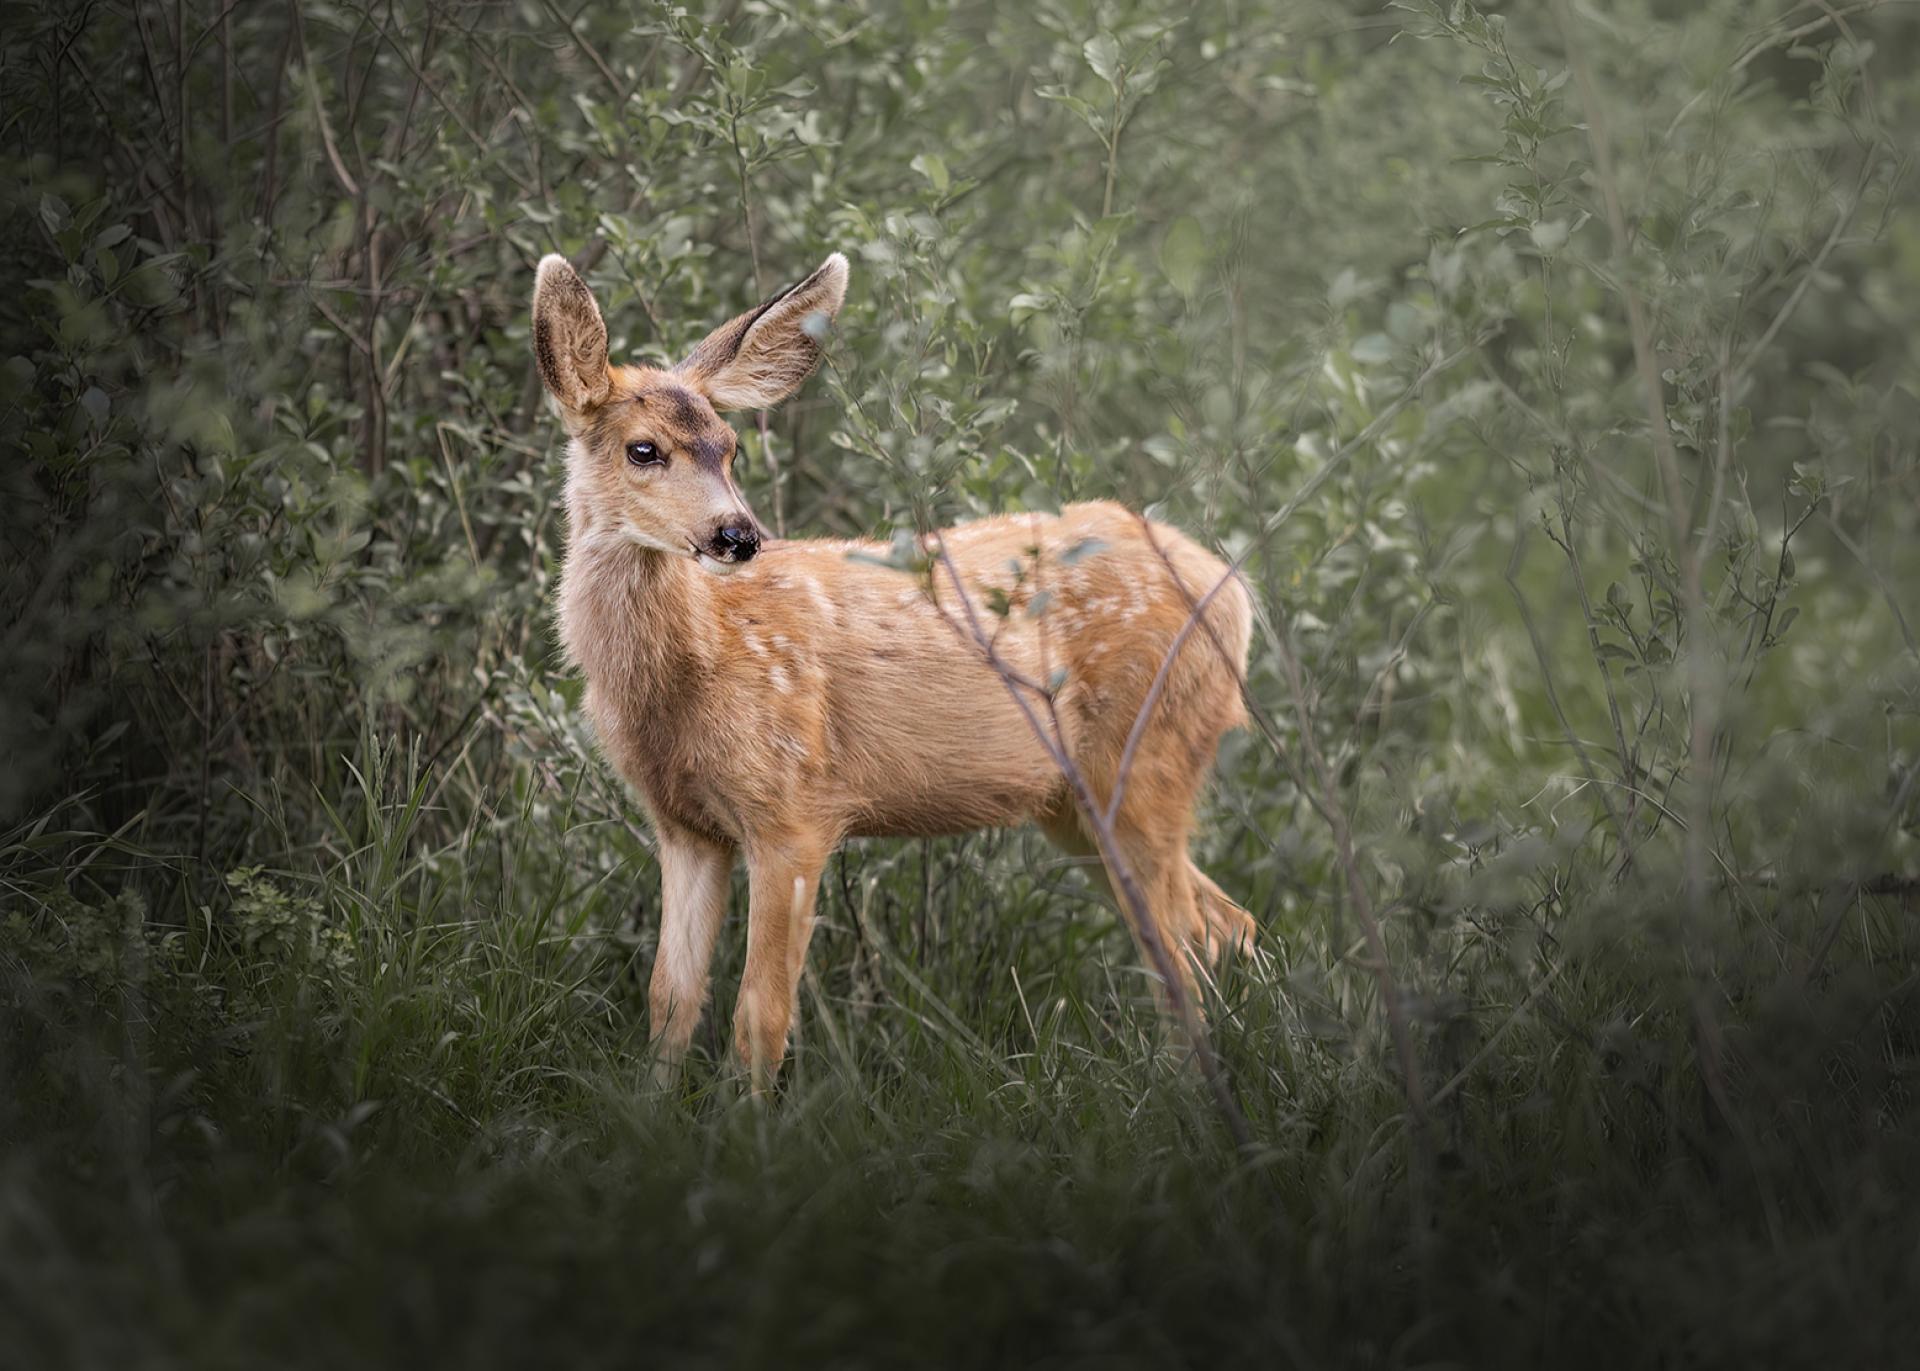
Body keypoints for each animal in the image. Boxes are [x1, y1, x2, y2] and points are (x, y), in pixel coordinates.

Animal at [537, 245, 1259, 1075]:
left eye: (730, 447)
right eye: (643, 449)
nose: (738, 534)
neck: (689, 673)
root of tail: (1234, 592)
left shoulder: (795, 810)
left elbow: (761, 1015)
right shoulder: (686, 826)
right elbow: (669, 1002)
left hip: (1146, 760)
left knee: (1183, 950)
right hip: (1077, 804)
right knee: (1224, 926)